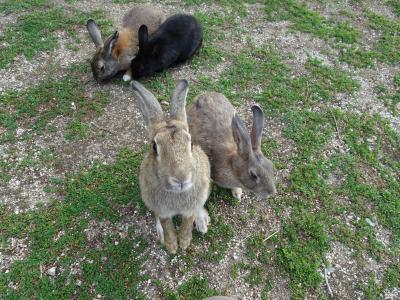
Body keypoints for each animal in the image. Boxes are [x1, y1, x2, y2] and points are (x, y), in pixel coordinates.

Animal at [132, 79, 212, 253]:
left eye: (191, 143)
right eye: (154, 147)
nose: (181, 179)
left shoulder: (190, 208)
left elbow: (187, 223)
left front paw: (184, 243)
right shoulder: (162, 211)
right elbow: (167, 226)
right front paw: (172, 246)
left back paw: (202, 224)